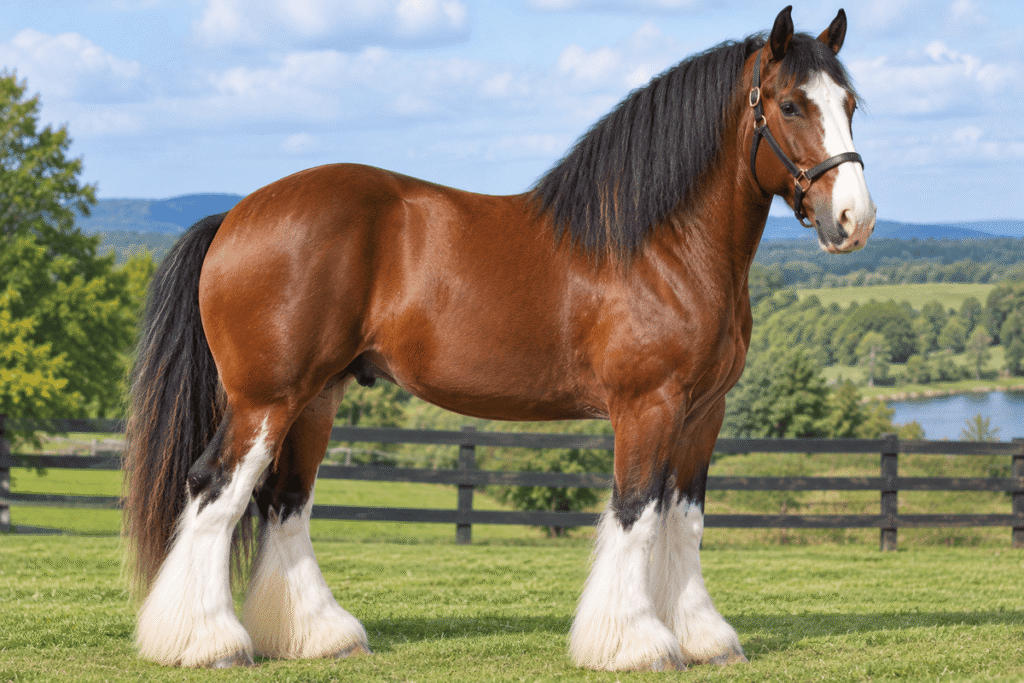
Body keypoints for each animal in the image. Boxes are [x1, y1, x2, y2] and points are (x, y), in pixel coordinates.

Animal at [123, 5, 874, 671]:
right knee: (216, 489)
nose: (854, 219)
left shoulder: (702, 412)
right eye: (790, 105)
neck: (661, 247)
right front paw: (634, 644)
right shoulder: (647, 405)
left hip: (315, 398)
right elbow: (636, 511)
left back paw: (319, 636)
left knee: (284, 503)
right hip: (265, 400)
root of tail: (233, 215)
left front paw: (702, 638)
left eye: (849, 103)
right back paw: (207, 643)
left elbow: (682, 519)